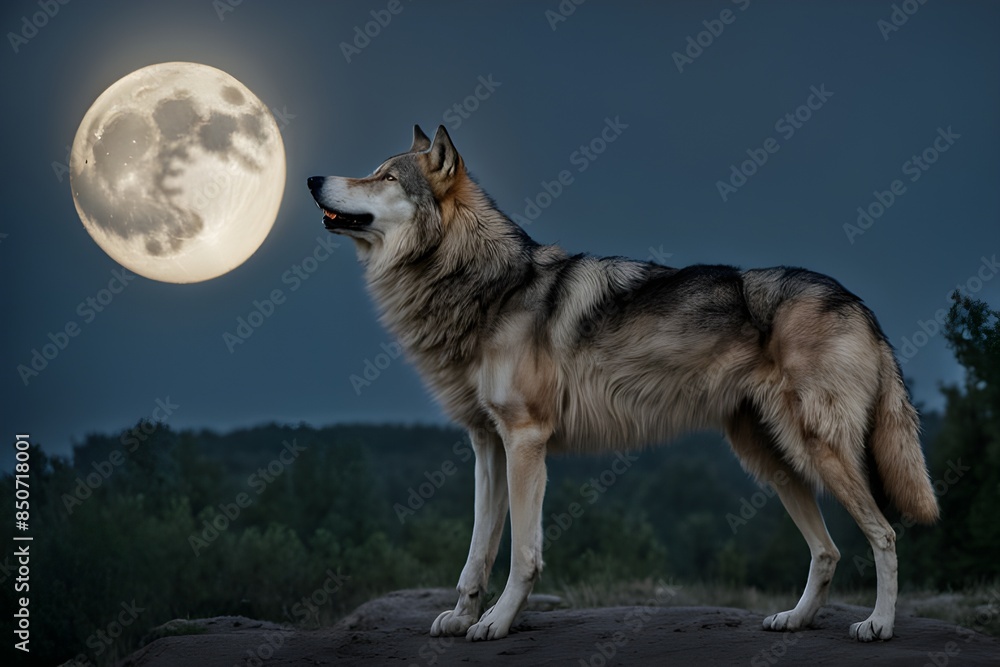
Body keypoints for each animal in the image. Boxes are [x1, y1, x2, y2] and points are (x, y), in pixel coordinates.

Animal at [307, 125, 939, 643]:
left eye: (385, 176)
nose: (312, 178)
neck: (485, 286)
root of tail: (859, 302)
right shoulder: (487, 447)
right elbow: (476, 554)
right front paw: (463, 617)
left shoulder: (526, 440)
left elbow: (522, 555)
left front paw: (497, 624)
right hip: (773, 463)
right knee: (828, 551)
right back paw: (797, 620)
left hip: (818, 451)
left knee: (885, 534)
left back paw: (879, 625)